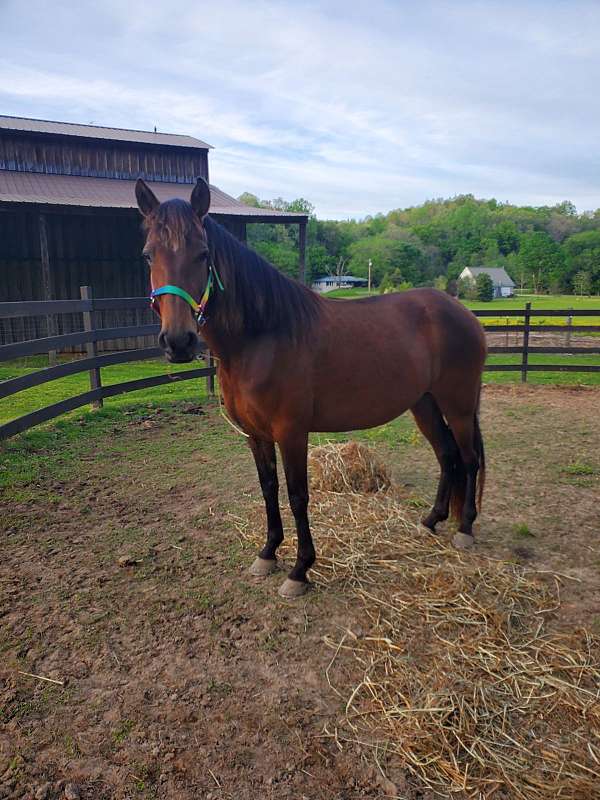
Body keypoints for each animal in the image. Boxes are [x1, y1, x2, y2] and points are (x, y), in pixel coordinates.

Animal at [136, 178, 488, 596]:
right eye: (148, 256)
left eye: (203, 253)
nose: (178, 342)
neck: (262, 336)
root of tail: (462, 312)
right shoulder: (255, 434)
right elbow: (268, 487)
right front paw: (268, 552)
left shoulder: (291, 432)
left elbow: (297, 495)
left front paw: (300, 569)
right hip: (425, 404)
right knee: (447, 456)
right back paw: (431, 521)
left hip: (459, 405)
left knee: (468, 458)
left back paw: (465, 528)